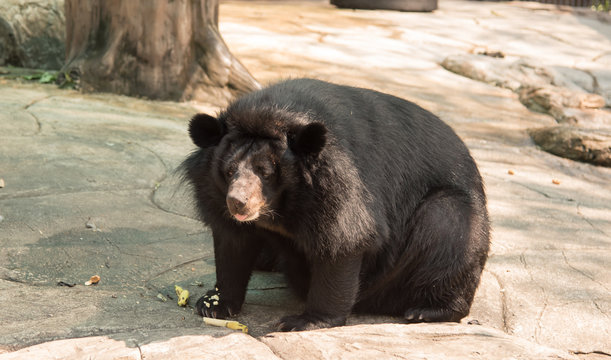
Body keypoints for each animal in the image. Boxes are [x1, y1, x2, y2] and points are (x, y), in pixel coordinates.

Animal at [179, 79, 490, 332]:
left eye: (265, 172)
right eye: (230, 170)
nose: (237, 203)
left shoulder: (338, 185)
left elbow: (344, 240)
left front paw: (303, 321)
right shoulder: (213, 194)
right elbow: (233, 244)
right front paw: (213, 303)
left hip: (452, 216)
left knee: (447, 226)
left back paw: (428, 311)